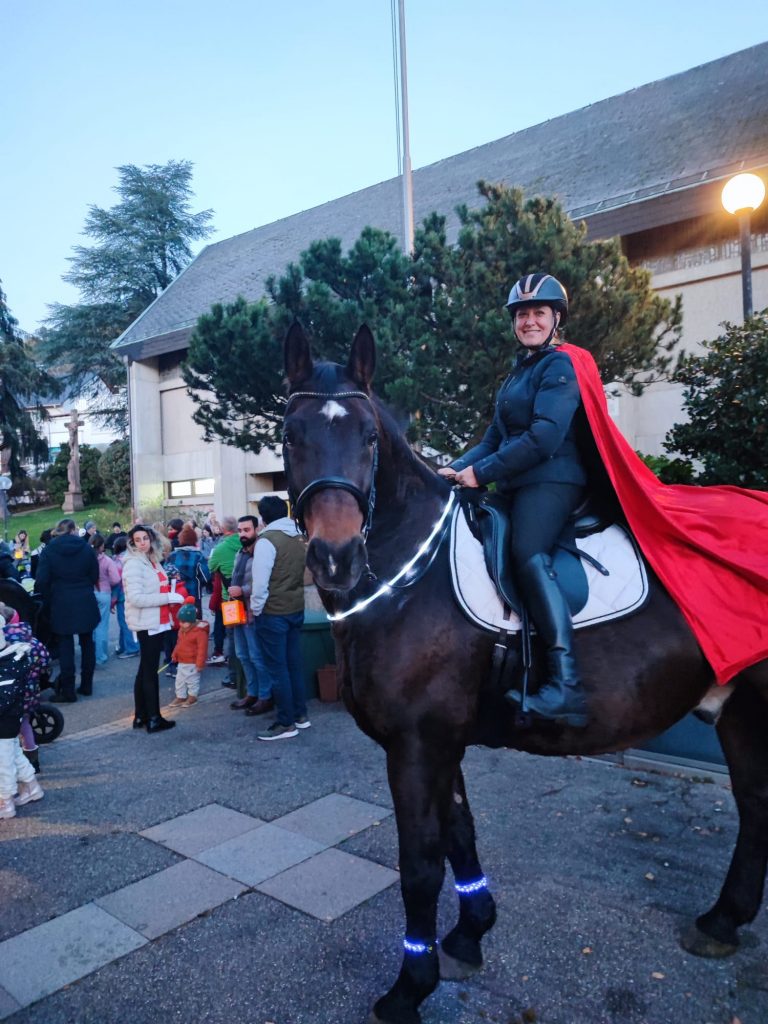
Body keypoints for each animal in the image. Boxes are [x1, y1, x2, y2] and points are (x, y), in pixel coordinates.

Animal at [281, 322, 768, 1024]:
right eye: (292, 435)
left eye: (370, 437)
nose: (335, 558)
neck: (410, 575)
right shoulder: (440, 741)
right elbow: (459, 838)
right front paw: (468, 934)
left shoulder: (417, 744)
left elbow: (420, 863)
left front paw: (410, 986)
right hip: (737, 704)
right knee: (755, 801)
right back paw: (724, 919)